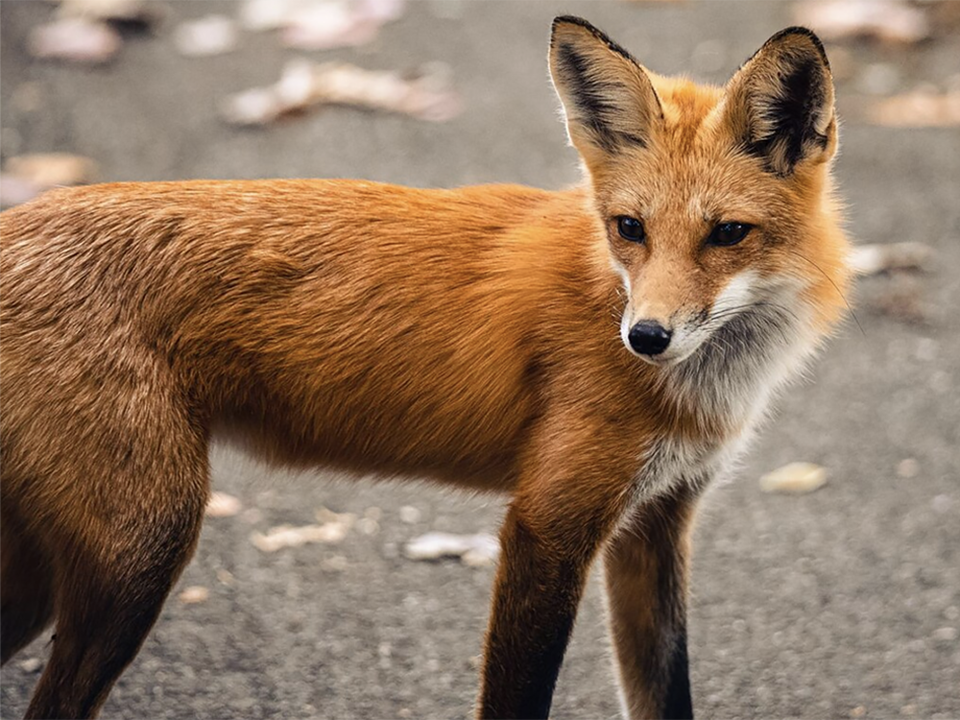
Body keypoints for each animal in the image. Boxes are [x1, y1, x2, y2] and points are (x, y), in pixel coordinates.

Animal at [1, 15, 856, 720]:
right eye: (629, 228)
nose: (645, 336)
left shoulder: (656, 522)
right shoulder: (548, 526)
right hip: (141, 551)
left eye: (728, 234)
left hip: (52, 576)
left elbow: (665, 694)